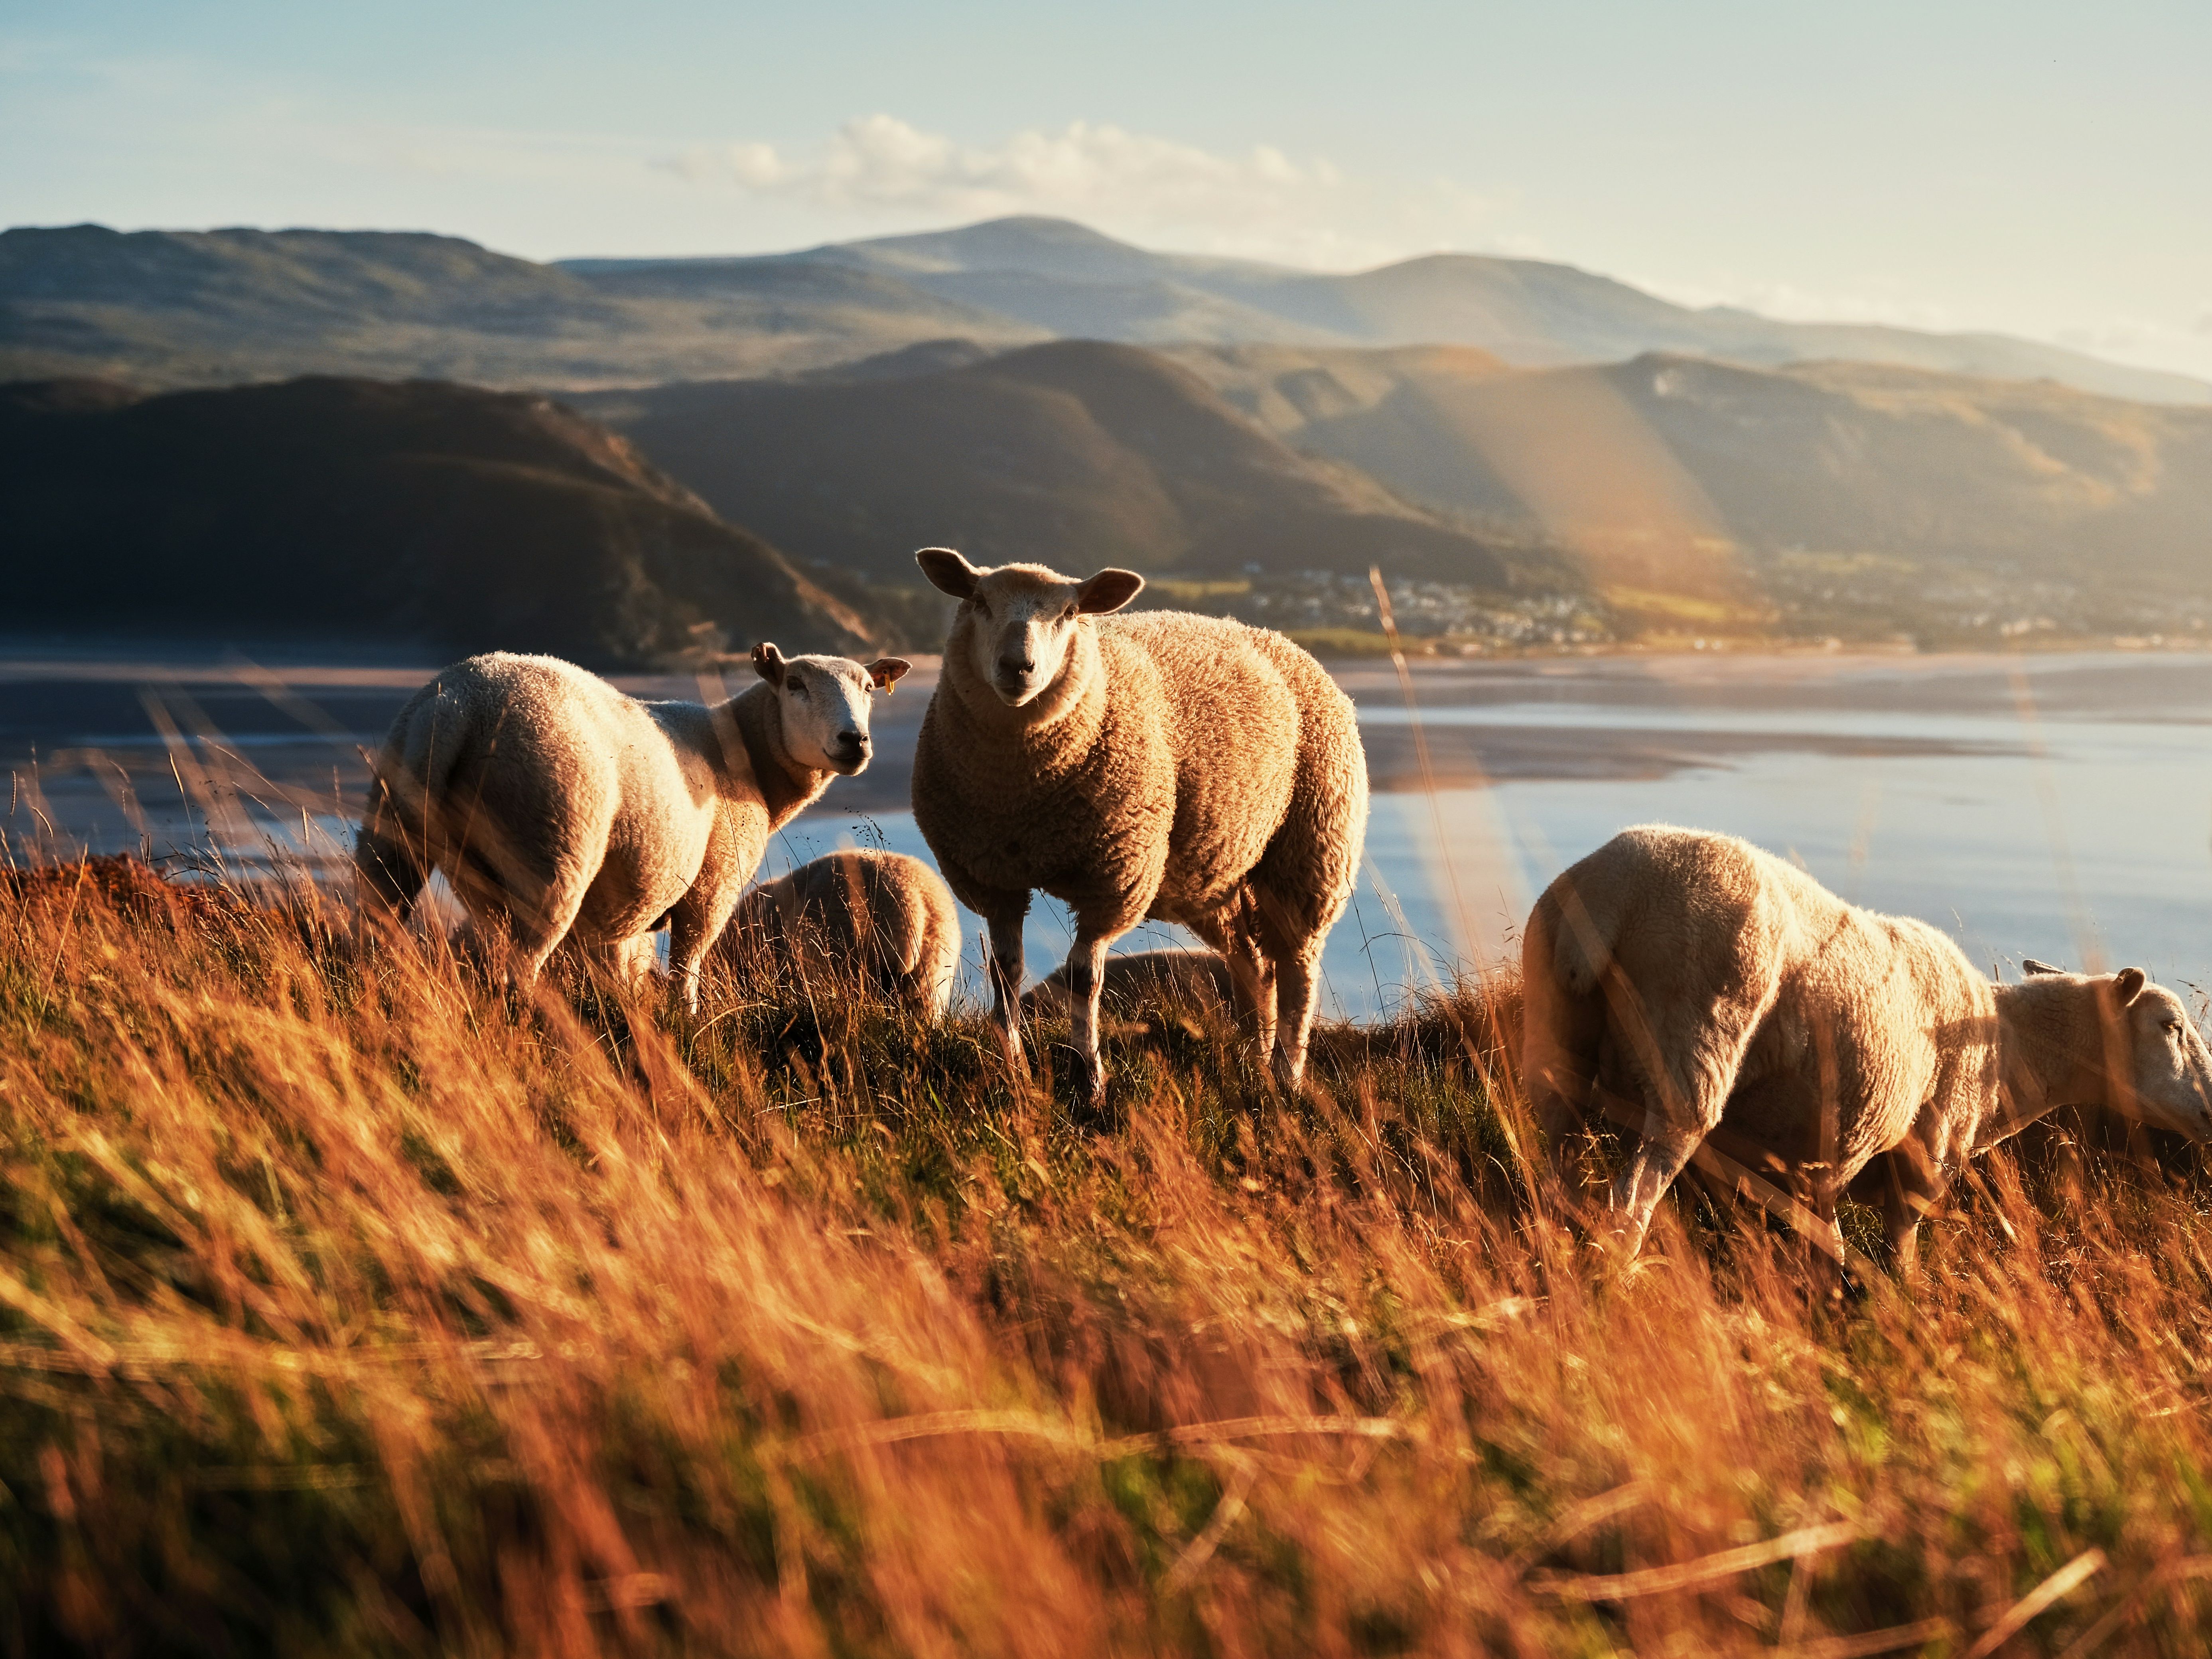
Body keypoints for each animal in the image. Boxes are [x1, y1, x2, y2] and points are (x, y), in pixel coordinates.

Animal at [354, 644, 910, 1009]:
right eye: (796, 685)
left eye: (869, 689)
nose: (854, 740)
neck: (746, 756)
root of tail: (459, 705)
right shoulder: (711, 886)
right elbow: (685, 973)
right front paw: (688, 1026)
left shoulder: (615, 913)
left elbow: (618, 973)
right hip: (553, 838)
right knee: (518, 970)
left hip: (393, 830)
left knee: (377, 928)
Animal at [910, 547, 1369, 1104]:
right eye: (978, 601)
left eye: (1069, 613)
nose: (1017, 667)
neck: (1024, 794)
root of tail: (1281, 640)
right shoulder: (993, 878)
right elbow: (1006, 972)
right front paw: (1013, 1069)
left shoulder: (1113, 878)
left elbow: (1083, 977)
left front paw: (1088, 1079)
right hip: (1212, 875)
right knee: (1253, 964)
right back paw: (1253, 1060)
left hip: (1312, 851)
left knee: (1298, 968)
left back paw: (1285, 1075)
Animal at [1523, 823, 2212, 1268]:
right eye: (2169, 1025)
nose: (2209, 1109)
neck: (2007, 1050)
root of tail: (1610, 892)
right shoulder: (1918, 1166)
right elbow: (1896, 1266)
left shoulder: (1801, 1171)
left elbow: (1820, 1250)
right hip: (1693, 1044)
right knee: (1631, 1203)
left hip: (1556, 1042)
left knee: (1551, 1170)